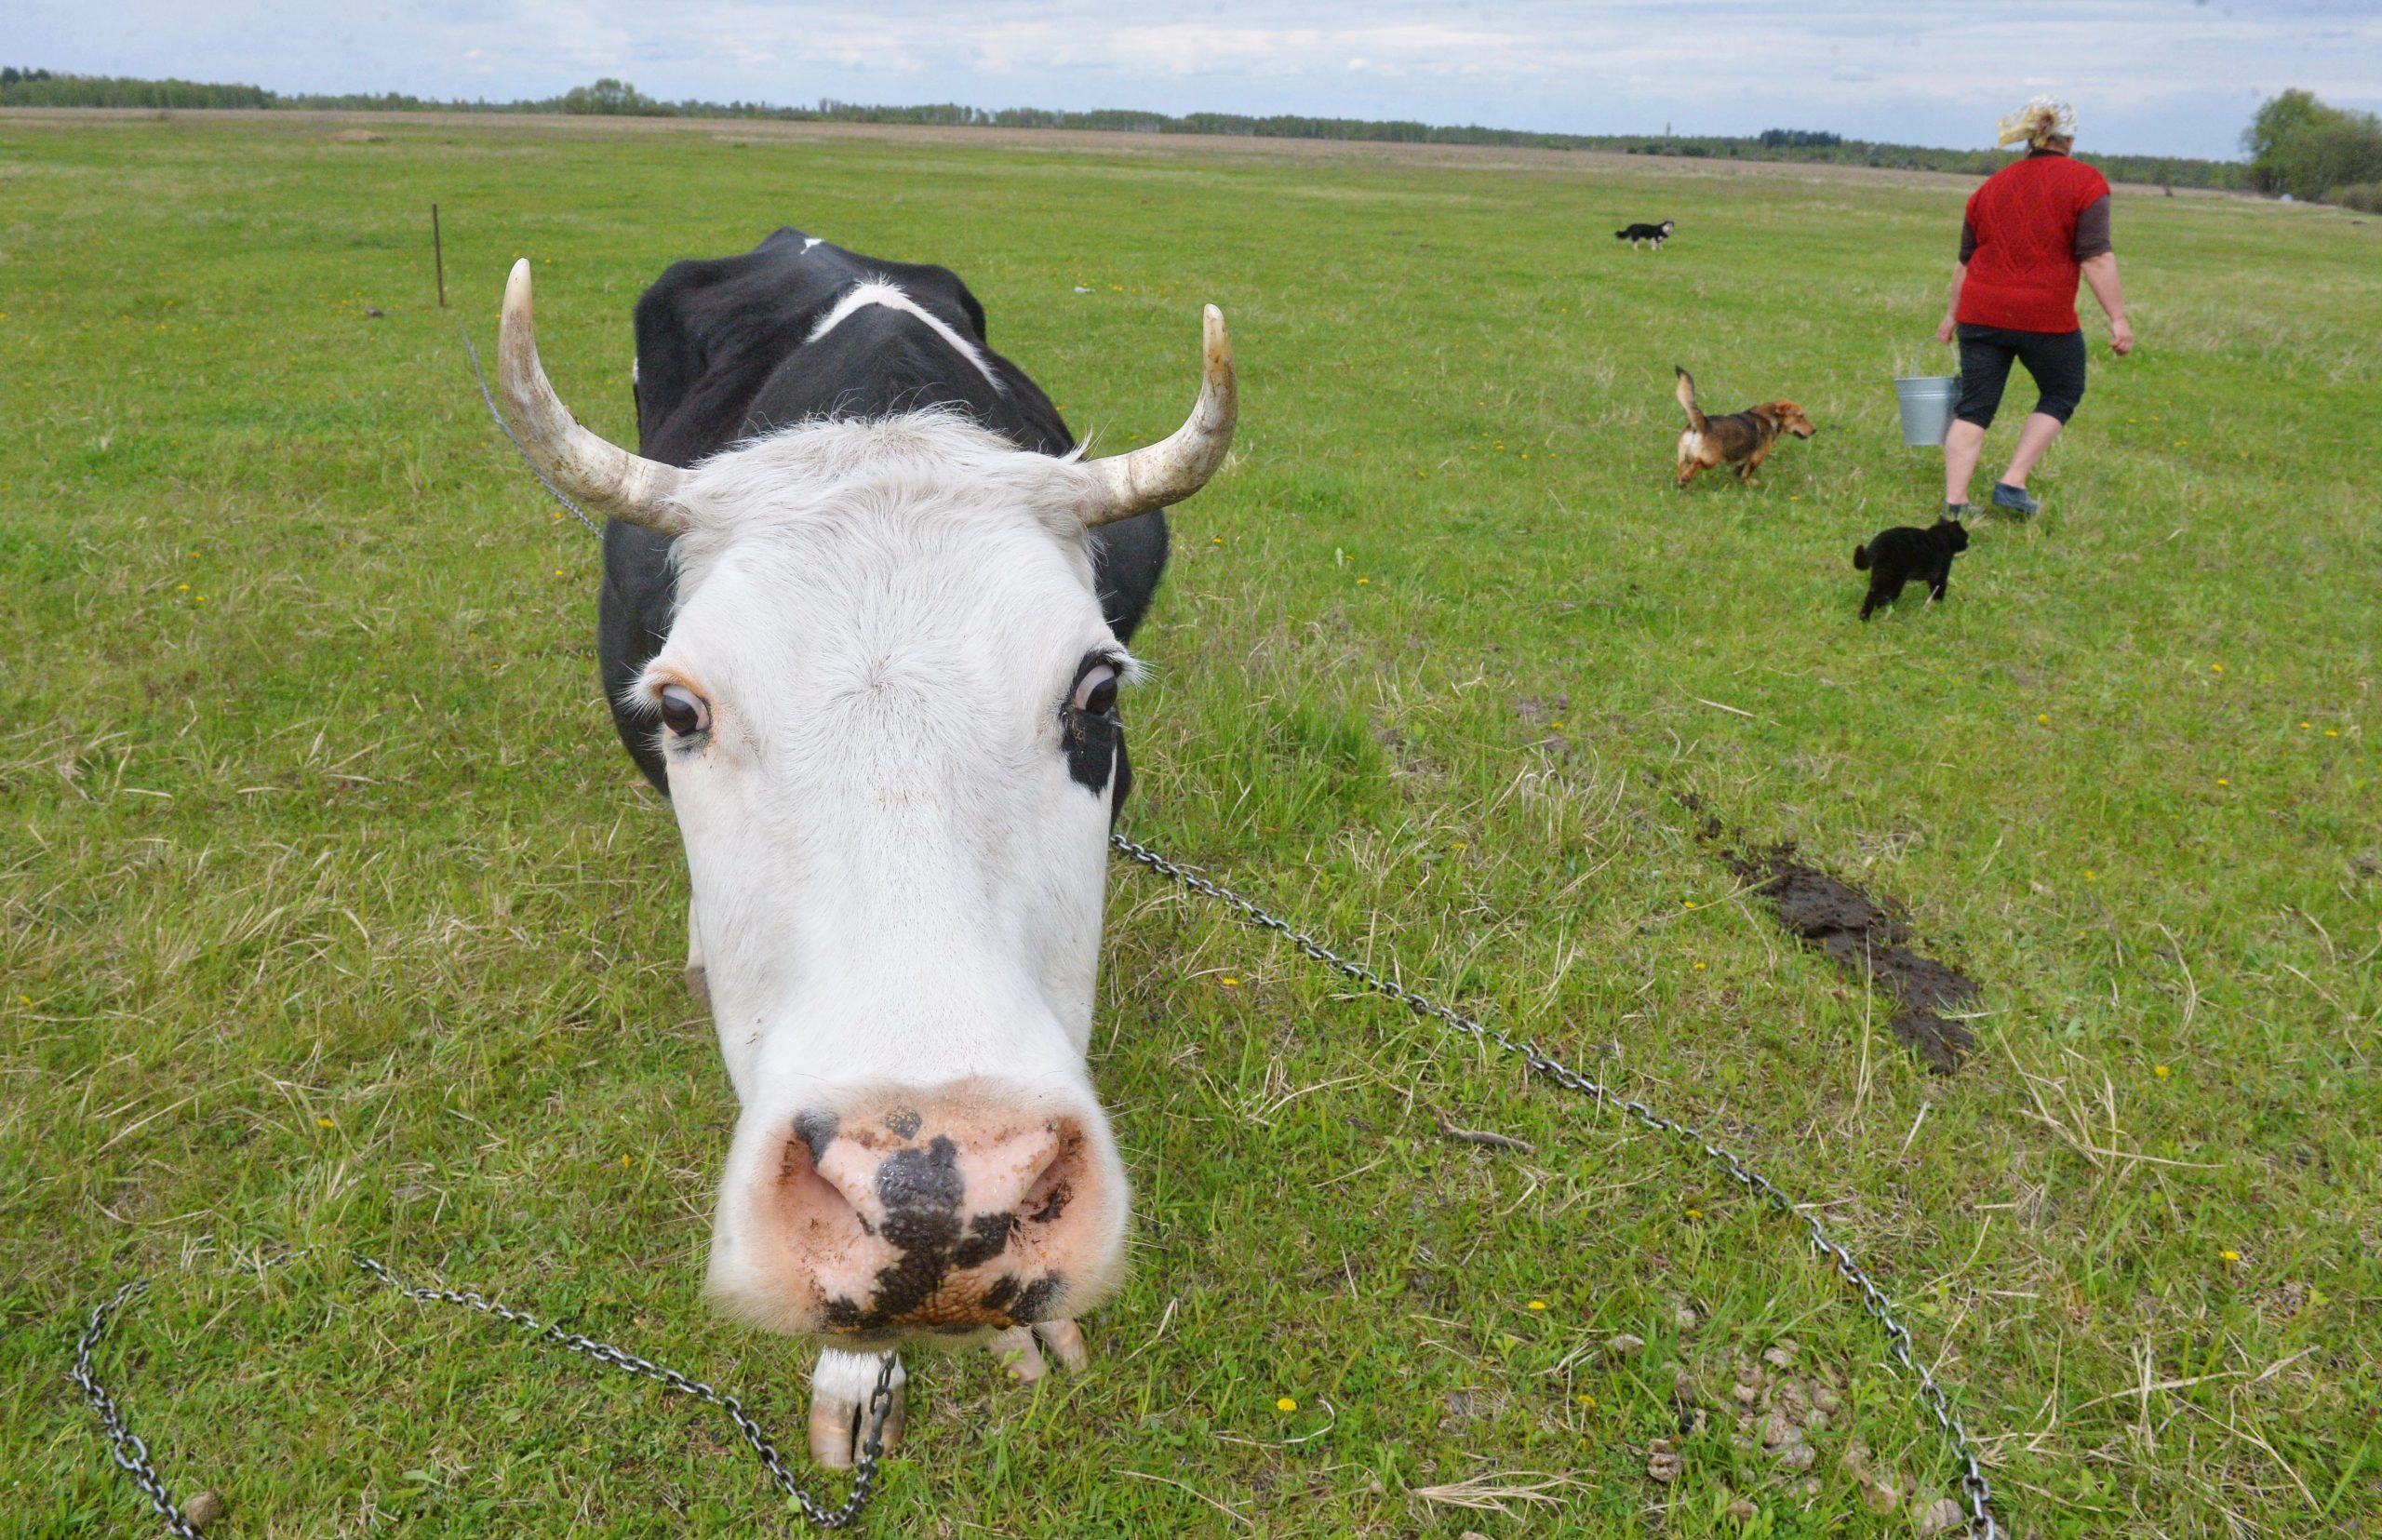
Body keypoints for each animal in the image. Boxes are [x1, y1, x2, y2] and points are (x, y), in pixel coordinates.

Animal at [1677, 367, 1819, 489]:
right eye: (1801, 416)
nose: (1814, 430)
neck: (1769, 417)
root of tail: (1702, 424)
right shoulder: (1756, 458)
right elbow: (1747, 473)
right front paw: (1751, 483)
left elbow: (1739, 472)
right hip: (1710, 459)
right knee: (1697, 462)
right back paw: (1686, 478)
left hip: (1683, 456)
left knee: (1681, 468)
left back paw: (1682, 481)